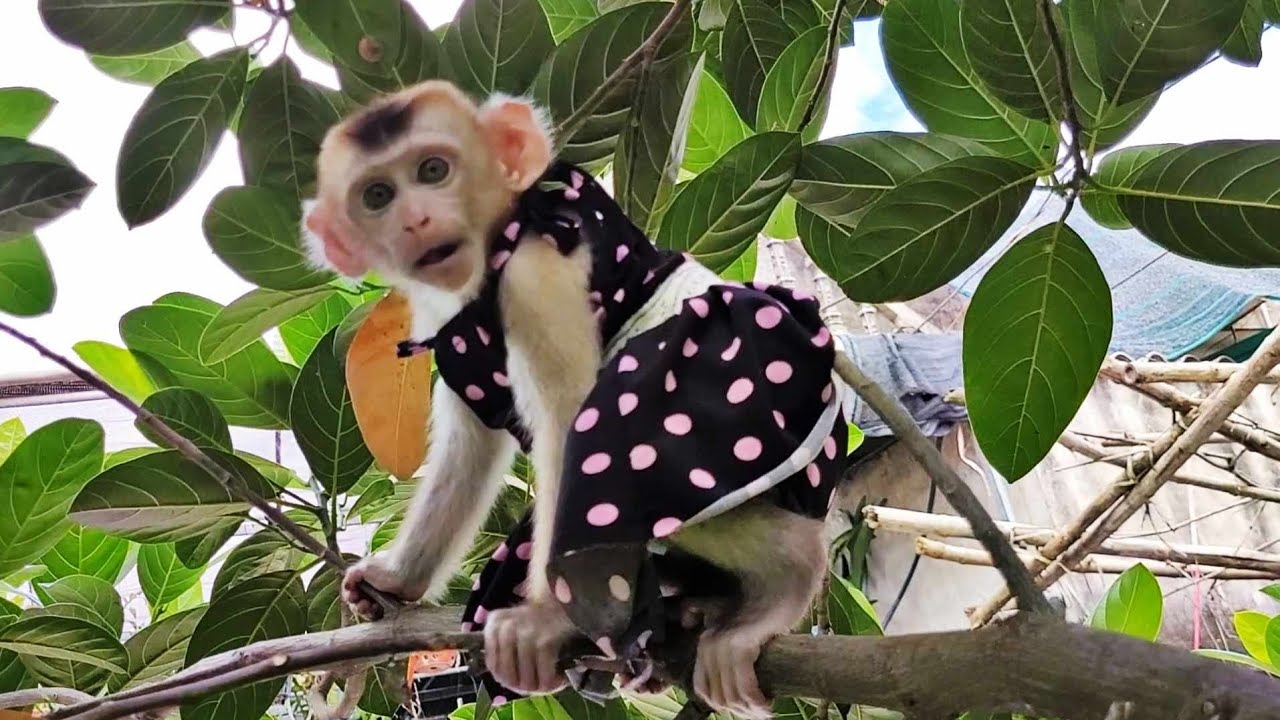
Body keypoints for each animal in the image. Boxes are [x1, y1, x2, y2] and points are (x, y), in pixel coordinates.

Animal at [304, 79, 850, 719]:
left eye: (433, 169)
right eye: (378, 195)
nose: (416, 219)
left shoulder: (532, 275)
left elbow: (569, 419)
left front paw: (544, 618)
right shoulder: (449, 327)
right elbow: (472, 449)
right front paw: (397, 580)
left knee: (620, 448)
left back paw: (786, 576)